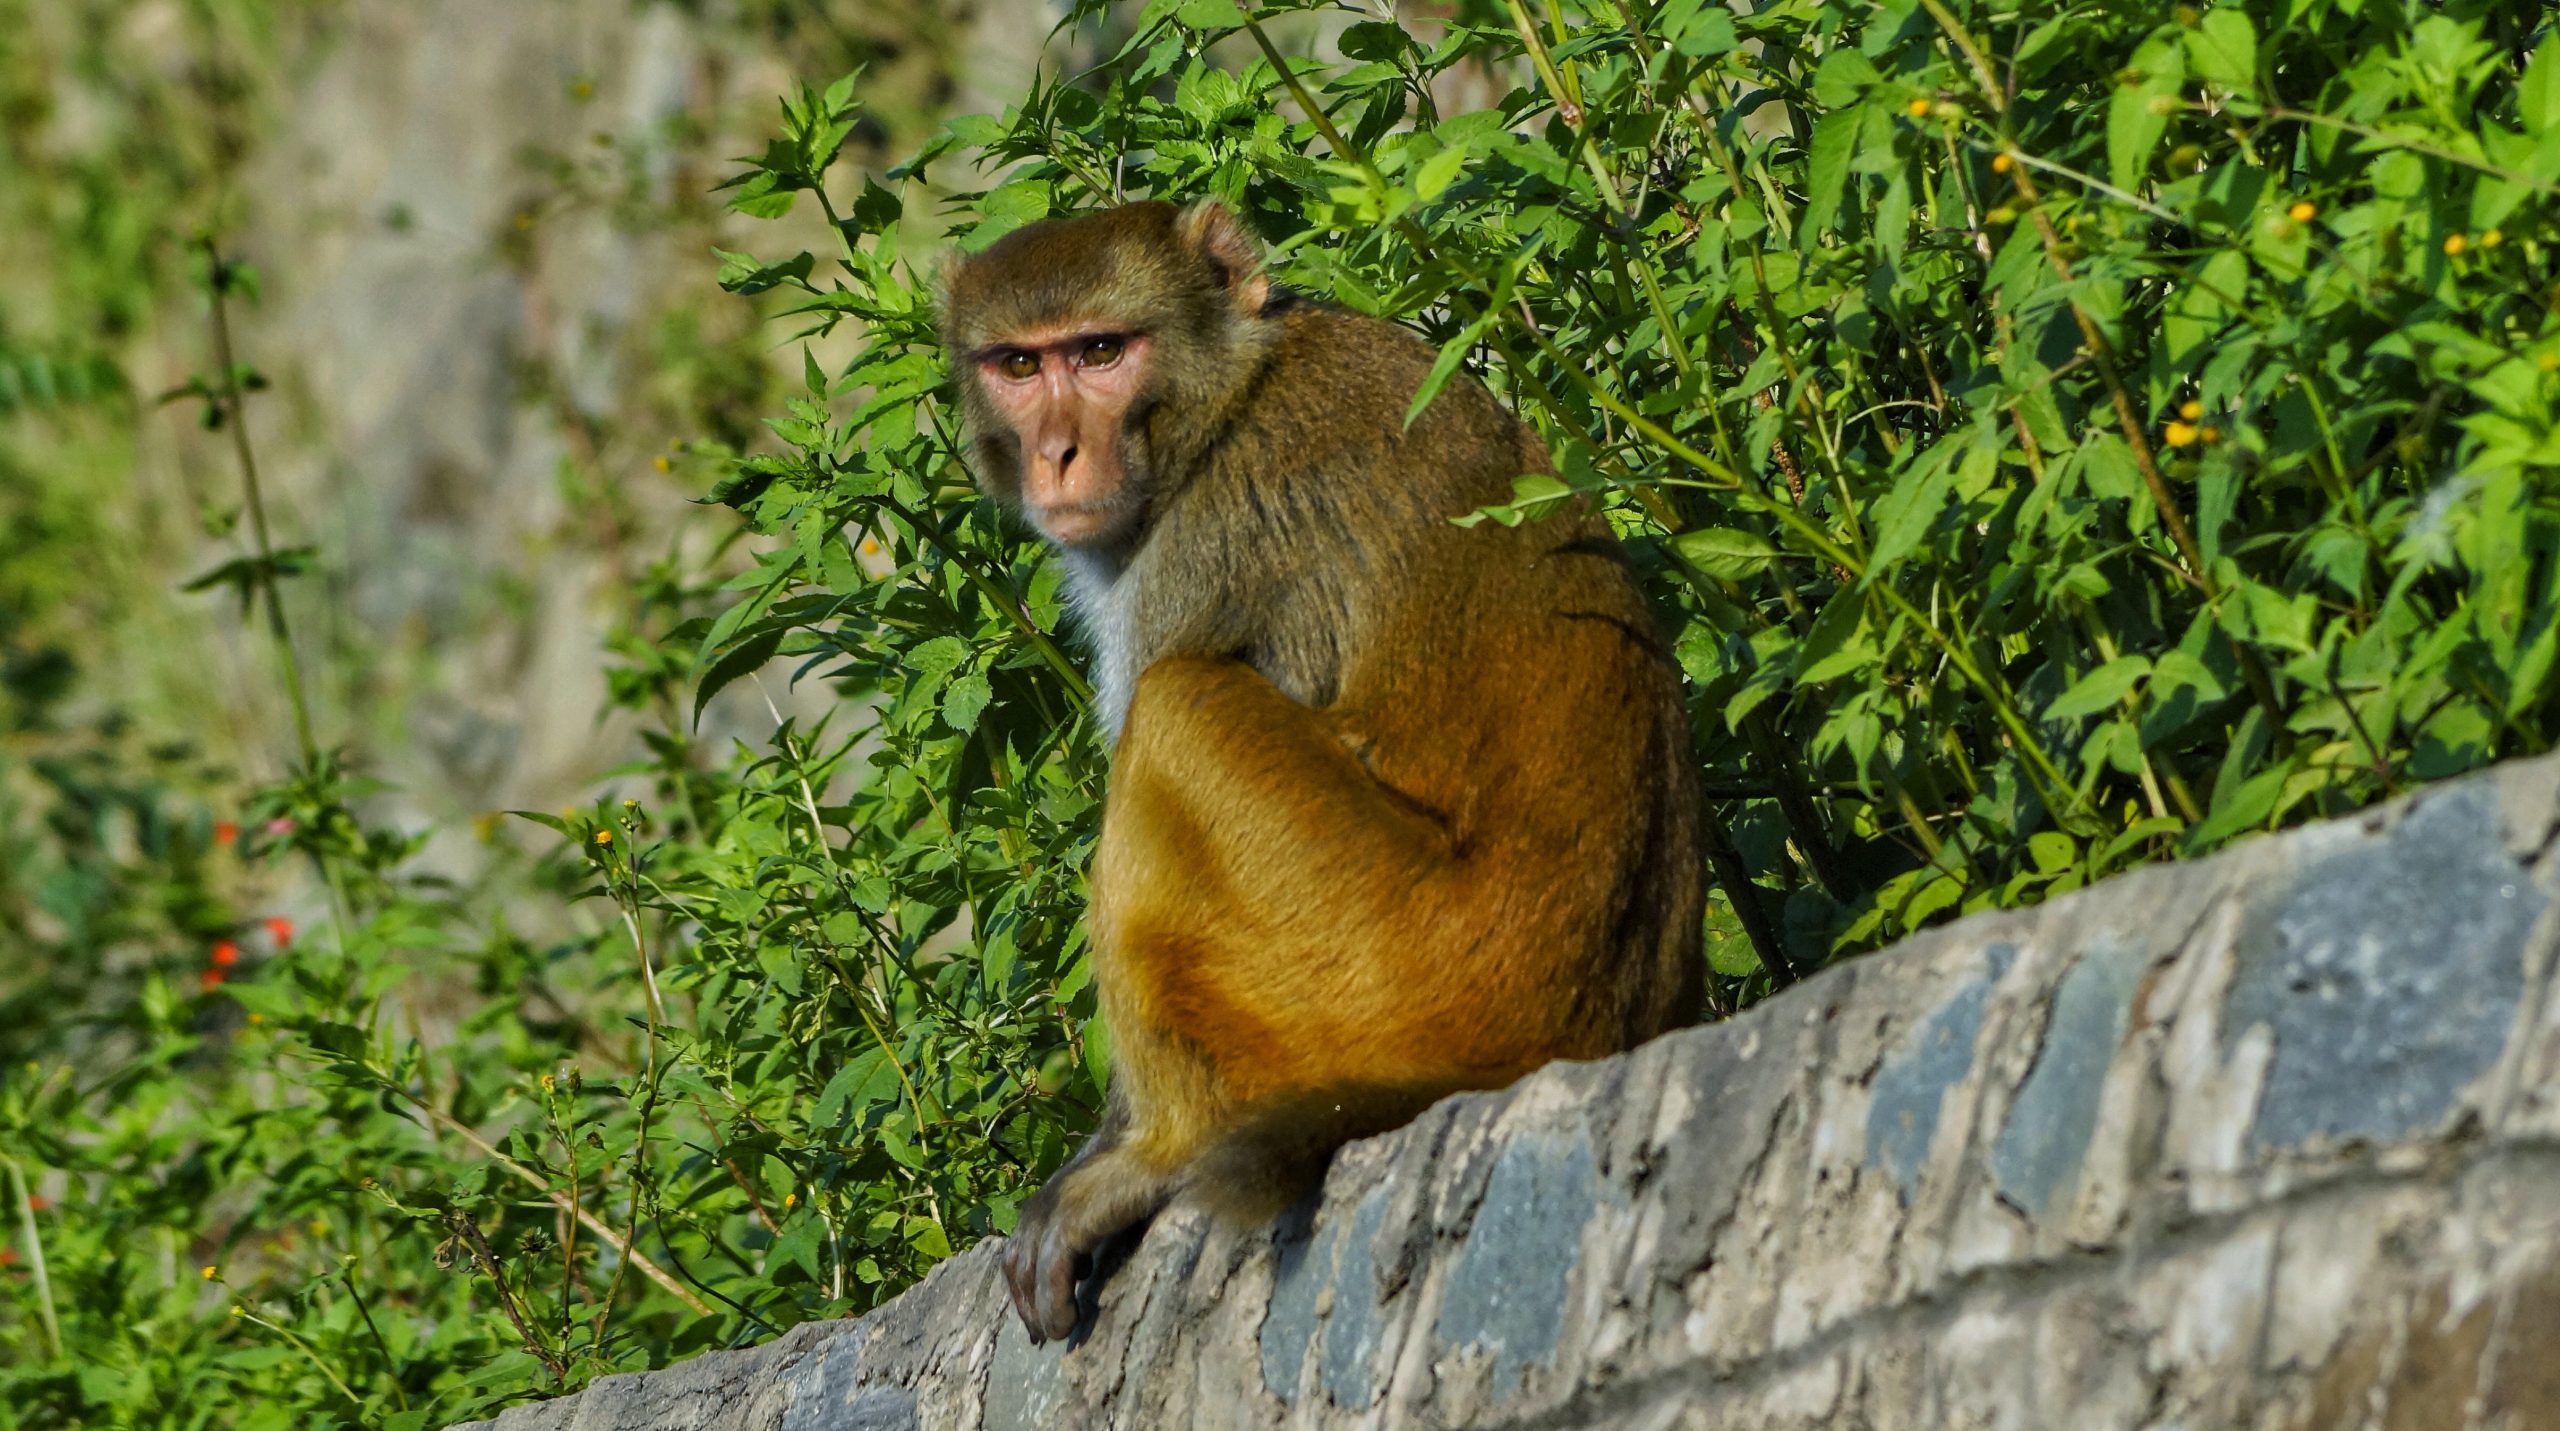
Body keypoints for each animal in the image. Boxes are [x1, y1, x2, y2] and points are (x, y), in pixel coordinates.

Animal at [942, 198, 1699, 1341]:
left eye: (1103, 351)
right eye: (1020, 365)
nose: (1060, 453)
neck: (1232, 397)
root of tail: (1577, 1036)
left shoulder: (1201, 554)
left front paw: (1115, 1153)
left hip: (1393, 973)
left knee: (1180, 711)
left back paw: (1166, 1150)